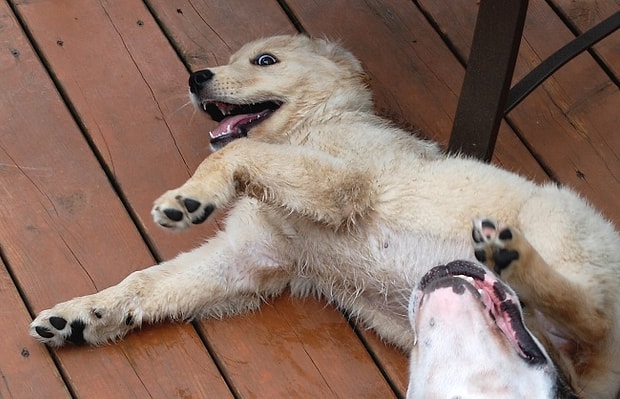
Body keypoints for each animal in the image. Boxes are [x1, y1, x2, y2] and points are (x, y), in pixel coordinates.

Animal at [30, 36, 620, 398]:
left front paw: (188, 198)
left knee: (593, 318)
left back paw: (508, 256)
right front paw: (84, 315)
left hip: (558, 217)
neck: (311, 128)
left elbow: (236, 152)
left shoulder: (343, 181)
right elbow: (147, 282)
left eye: (265, 61)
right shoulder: (249, 258)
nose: (197, 78)